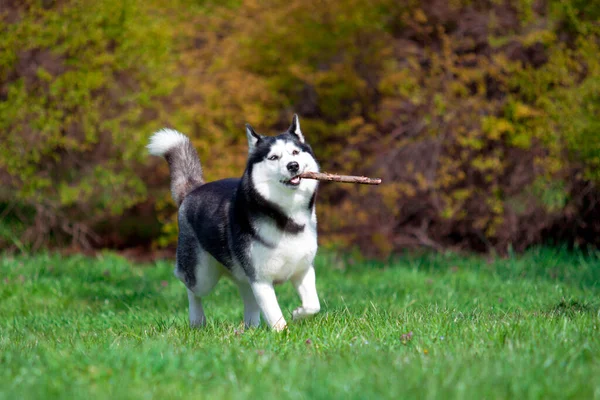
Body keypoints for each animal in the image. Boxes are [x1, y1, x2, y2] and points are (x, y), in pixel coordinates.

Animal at [148, 115, 322, 332]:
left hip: (240, 276)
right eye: (273, 157)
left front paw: (298, 314)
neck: (286, 216)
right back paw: (197, 320)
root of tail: (192, 190)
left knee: (248, 302)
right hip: (202, 275)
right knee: (190, 287)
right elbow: (275, 314)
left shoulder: (303, 269)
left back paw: (250, 328)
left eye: (295, 152)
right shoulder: (260, 279)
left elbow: (314, 305)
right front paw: (283, 333)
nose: (293, 165)